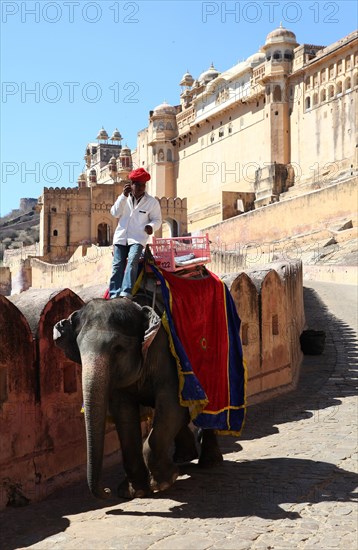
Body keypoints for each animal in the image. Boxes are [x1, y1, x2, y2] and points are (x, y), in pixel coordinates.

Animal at [53, 300, 222, 502]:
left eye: (118, 348)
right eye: (79, 350)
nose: (107, 491)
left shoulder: (166, 355)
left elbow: (173, 406)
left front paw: (164, 482)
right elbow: (124, 416)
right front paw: (135, 492)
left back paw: (210, 462)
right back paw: (184, 457)